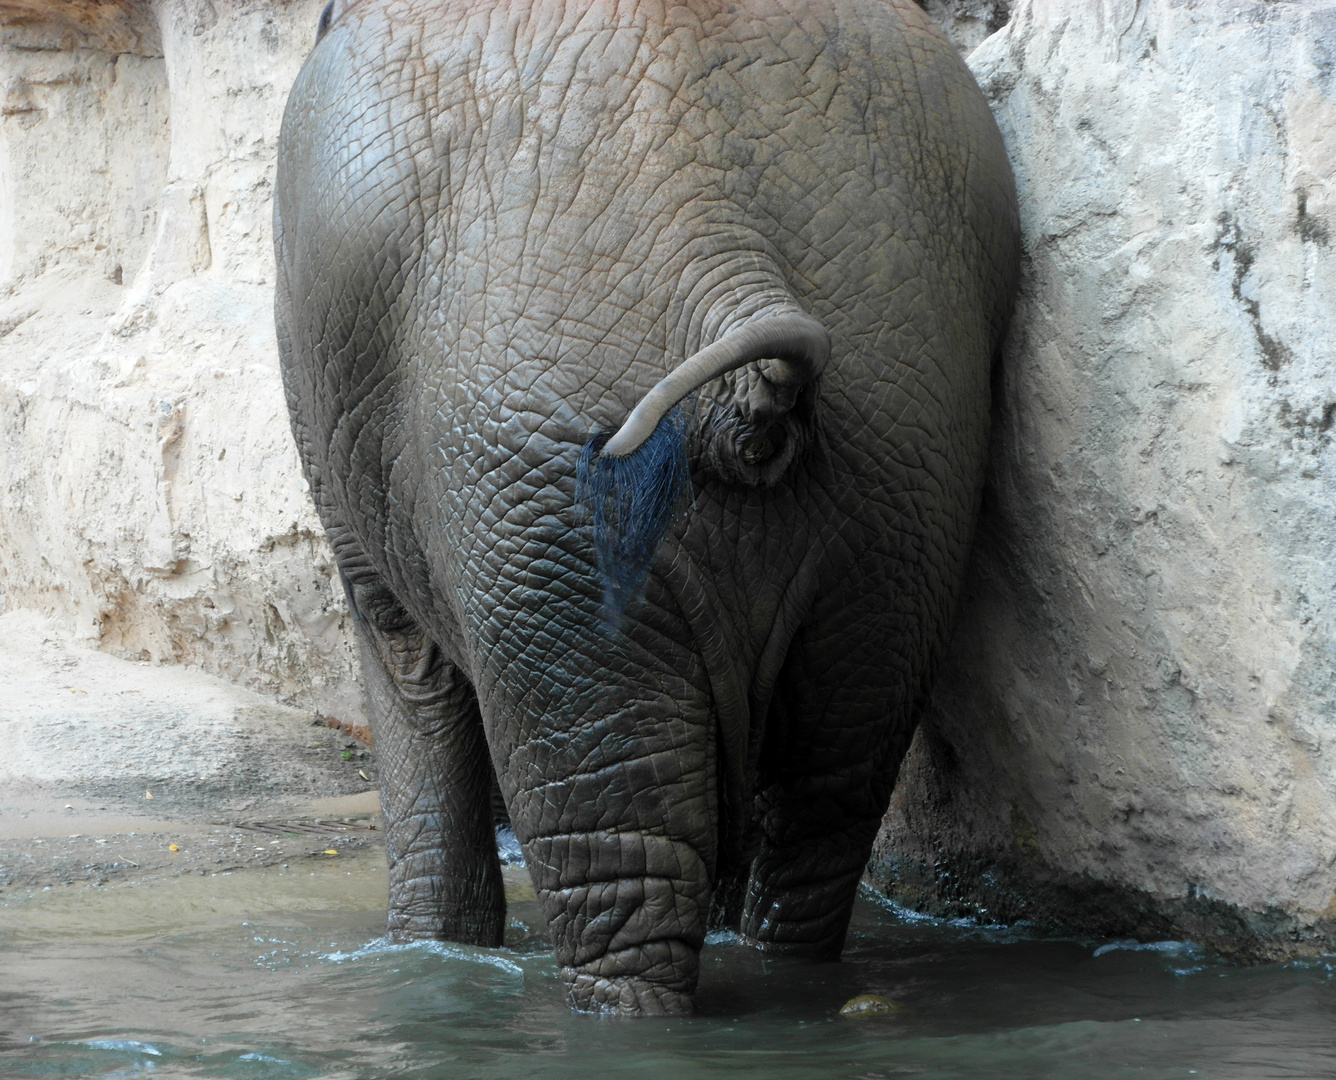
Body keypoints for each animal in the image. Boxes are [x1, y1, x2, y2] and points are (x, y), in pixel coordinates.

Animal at [276, 0, 1015, 1015]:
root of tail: (729, 269)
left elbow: (405, 660)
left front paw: (431, 947)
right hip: (909, 443)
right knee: (826, 795)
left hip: (540, 482)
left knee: (616, 847)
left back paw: (623, 1014)